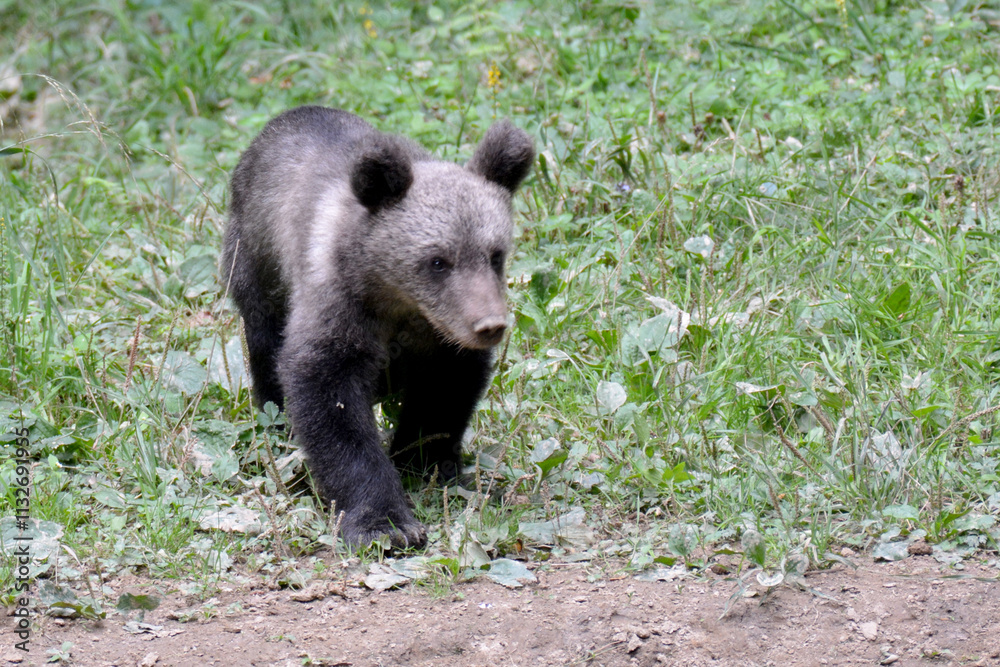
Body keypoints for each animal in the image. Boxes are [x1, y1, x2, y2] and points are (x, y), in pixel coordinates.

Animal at [219, 106, 534, 548]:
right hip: (257, 268)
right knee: (265, 348)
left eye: (496, 254)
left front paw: (426, 461)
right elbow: (334, 411)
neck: (398, 304)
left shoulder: (441, 340)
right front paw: (383, 521)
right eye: (438, 260)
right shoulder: (340, 316)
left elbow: (442, 400)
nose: (489, 325)